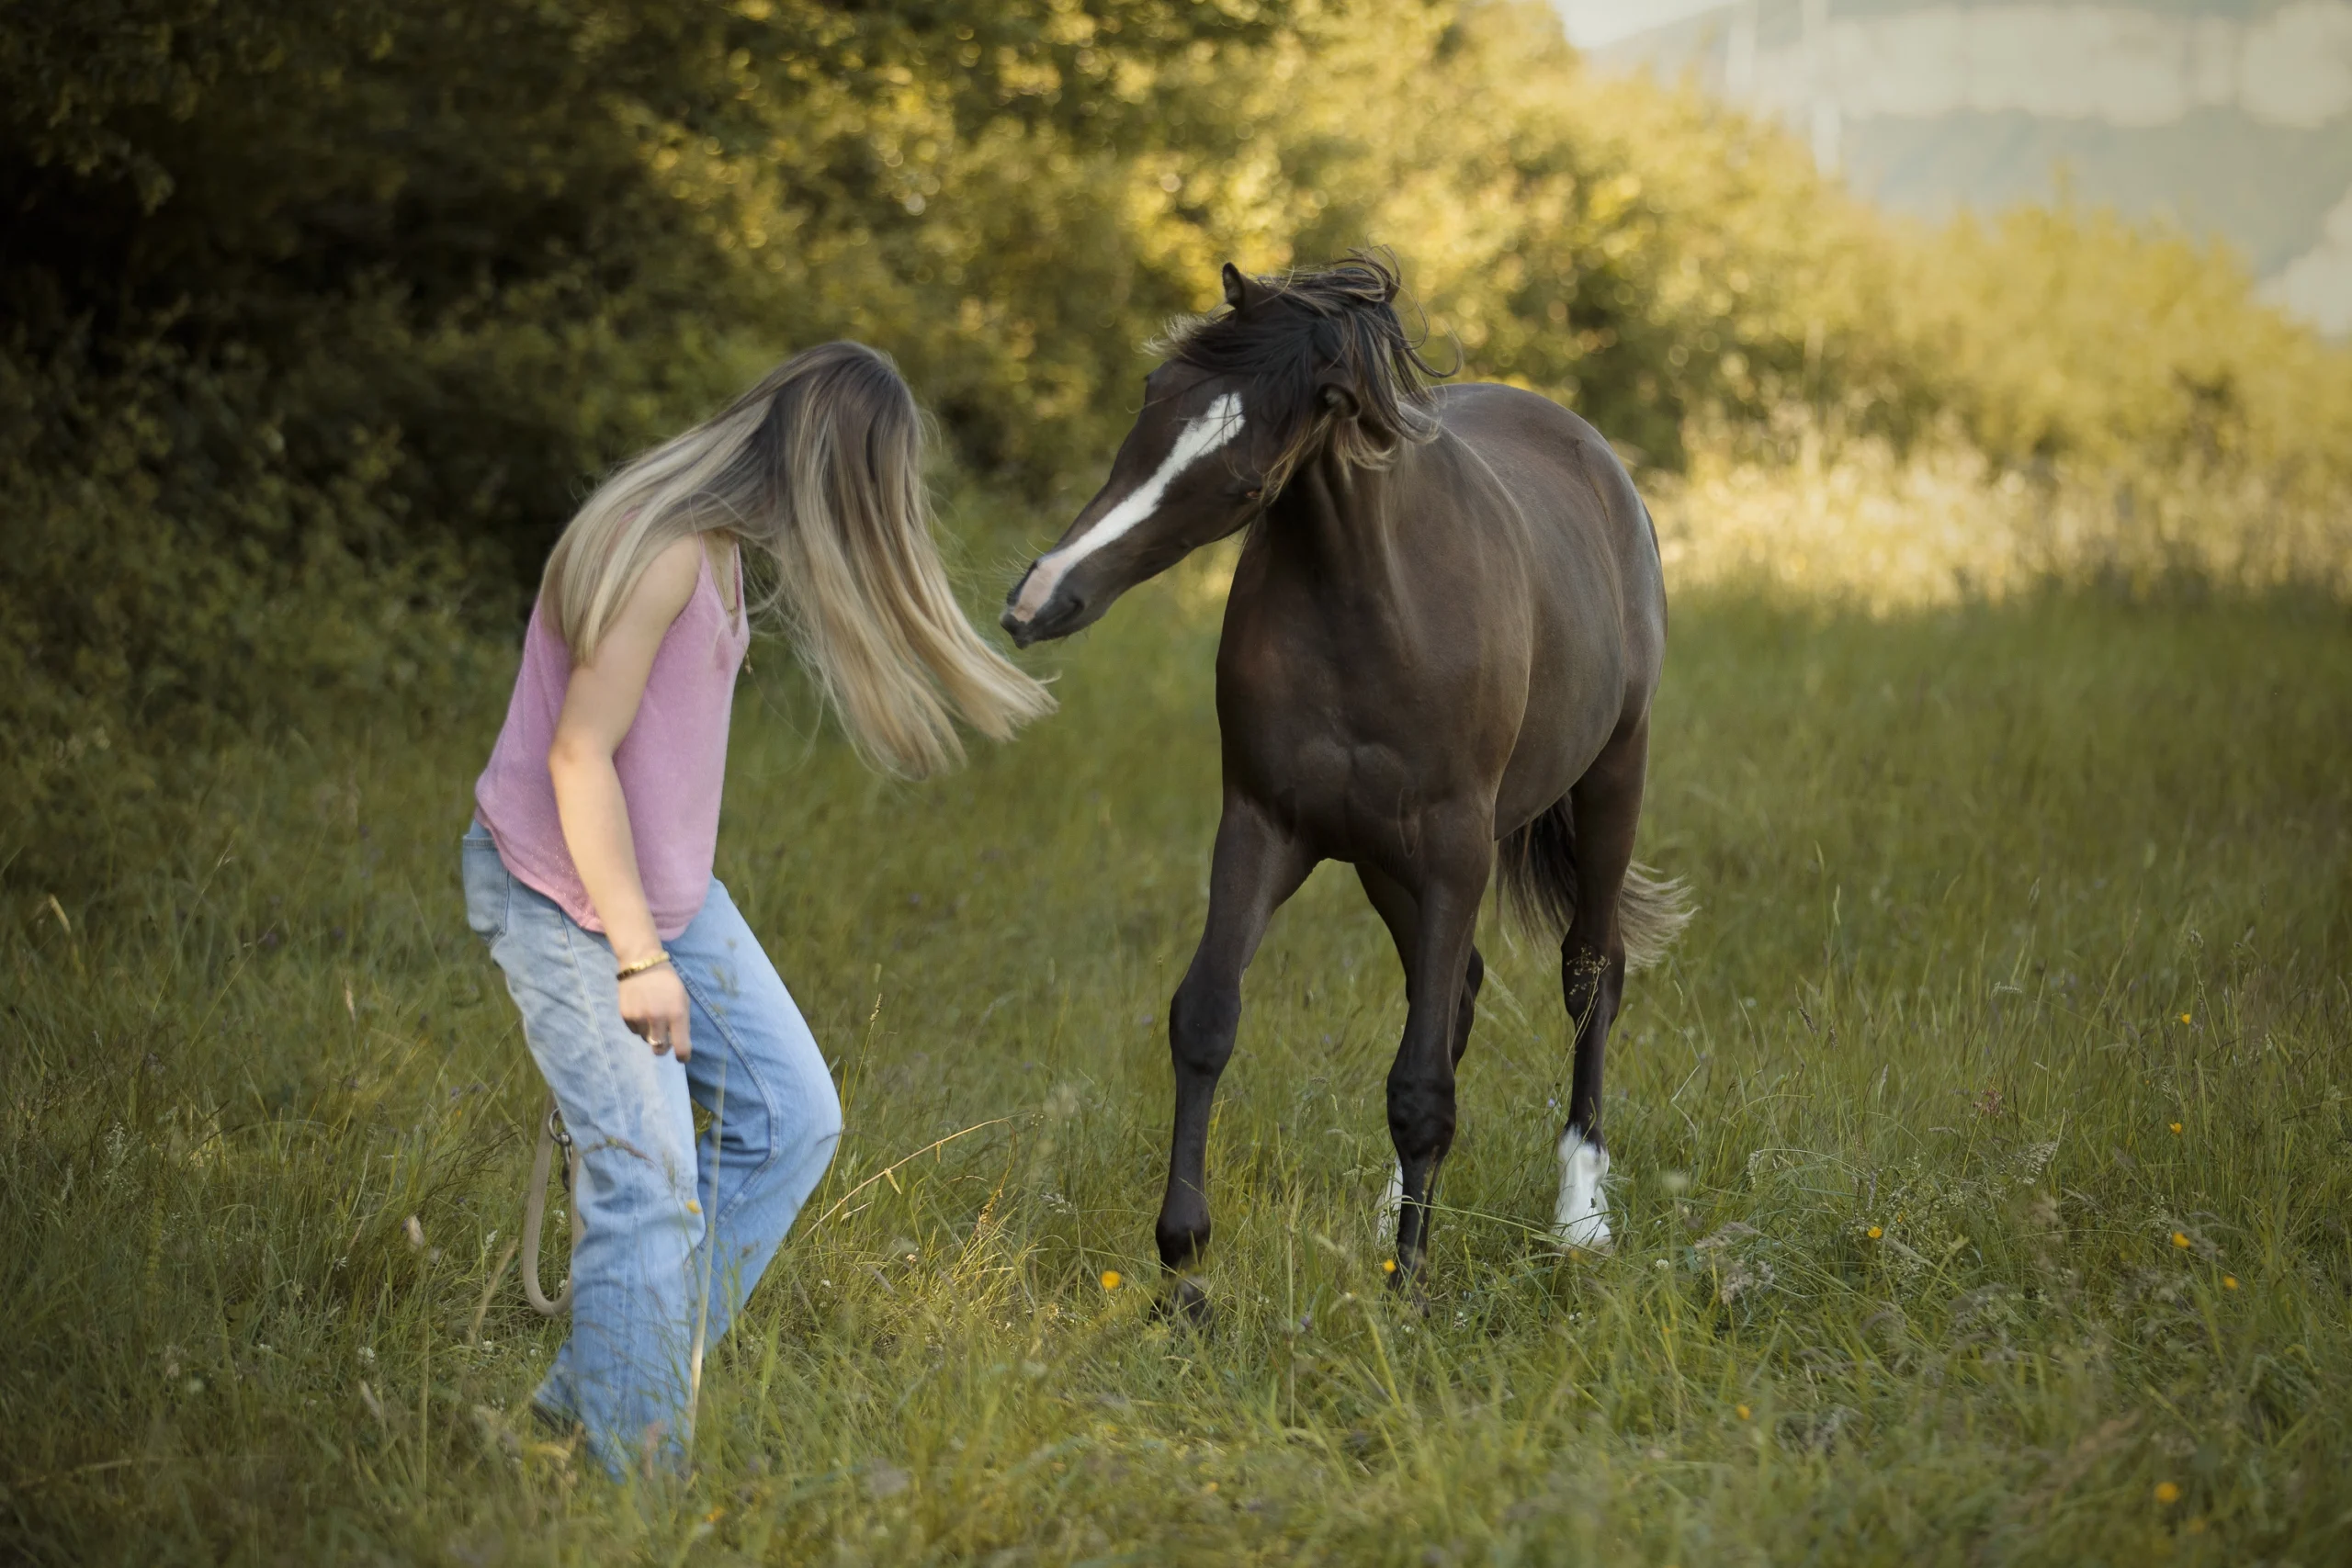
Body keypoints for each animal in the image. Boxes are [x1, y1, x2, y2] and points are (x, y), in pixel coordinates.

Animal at [1002, 255, 1690, 1302]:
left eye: (1243, 470)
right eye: (1153, 394)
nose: (1040, 597)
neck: (1374, 613)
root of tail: (1595, 456)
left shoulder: (1453, 850)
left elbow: (1422, 1083)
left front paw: (1408, 1291)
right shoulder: (1263, 828)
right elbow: (1206, 1019)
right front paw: (1183, 1267)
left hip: (1610, 779)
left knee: (1588, 975)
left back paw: (1579, 1217)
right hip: (1383, 863)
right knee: (1457, 990)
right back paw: (1391, 1210)